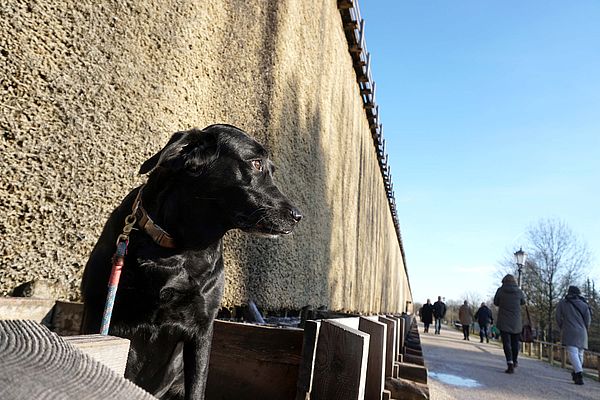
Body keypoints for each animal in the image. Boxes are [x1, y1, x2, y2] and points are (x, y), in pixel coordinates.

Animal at [81, 123, 300, 398]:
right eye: (257, 163)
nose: (298, 216)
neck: (179, 247)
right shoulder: (98, 313)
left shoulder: (202, 330)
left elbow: (197, 387)